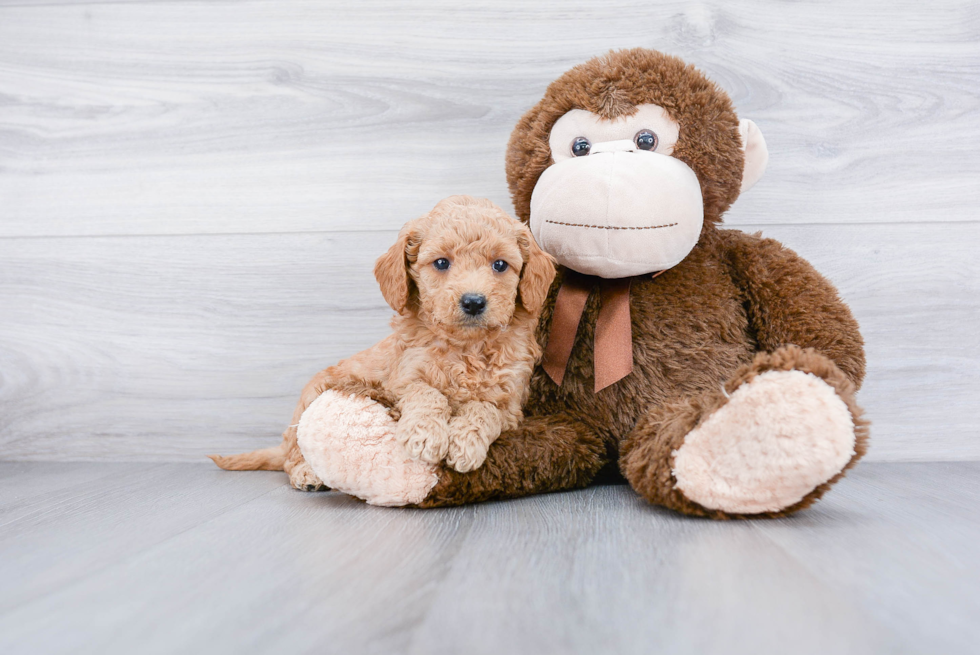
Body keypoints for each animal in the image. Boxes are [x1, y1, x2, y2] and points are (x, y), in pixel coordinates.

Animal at [211, 196, 556, 492]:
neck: (466, 347)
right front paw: (425, 436)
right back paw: (306, 474)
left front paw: (464, 443)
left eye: (500, 265)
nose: (473, 301)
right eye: (441, 263)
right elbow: (428, 393)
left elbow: (484, 409)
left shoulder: (510, 402)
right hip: (309, 402)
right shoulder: (401, 379)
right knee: (291, 456)